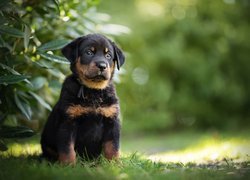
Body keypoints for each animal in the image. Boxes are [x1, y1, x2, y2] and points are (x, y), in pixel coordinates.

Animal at [40, 33, 125, 164]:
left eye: (108, 55)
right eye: (89, 52)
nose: (102, 66)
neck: (93, 91)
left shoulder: (112, 121)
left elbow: (112, 146)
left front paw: (114, 164)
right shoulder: (68, 122)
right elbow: (67, 148)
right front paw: (68, 165)